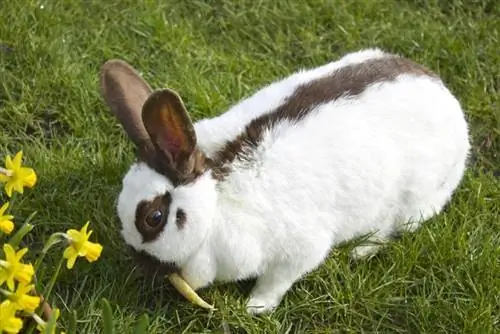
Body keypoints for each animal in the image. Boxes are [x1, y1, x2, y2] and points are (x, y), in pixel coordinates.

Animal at [99, 48, 470, 314]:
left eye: (154, 218)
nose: (142, 266)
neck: (215, 201)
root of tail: (449, 101)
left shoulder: (299, 251)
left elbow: (278, 280)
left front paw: (255, 307)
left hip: (413, 202)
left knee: (392, 228)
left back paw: (361, 251)